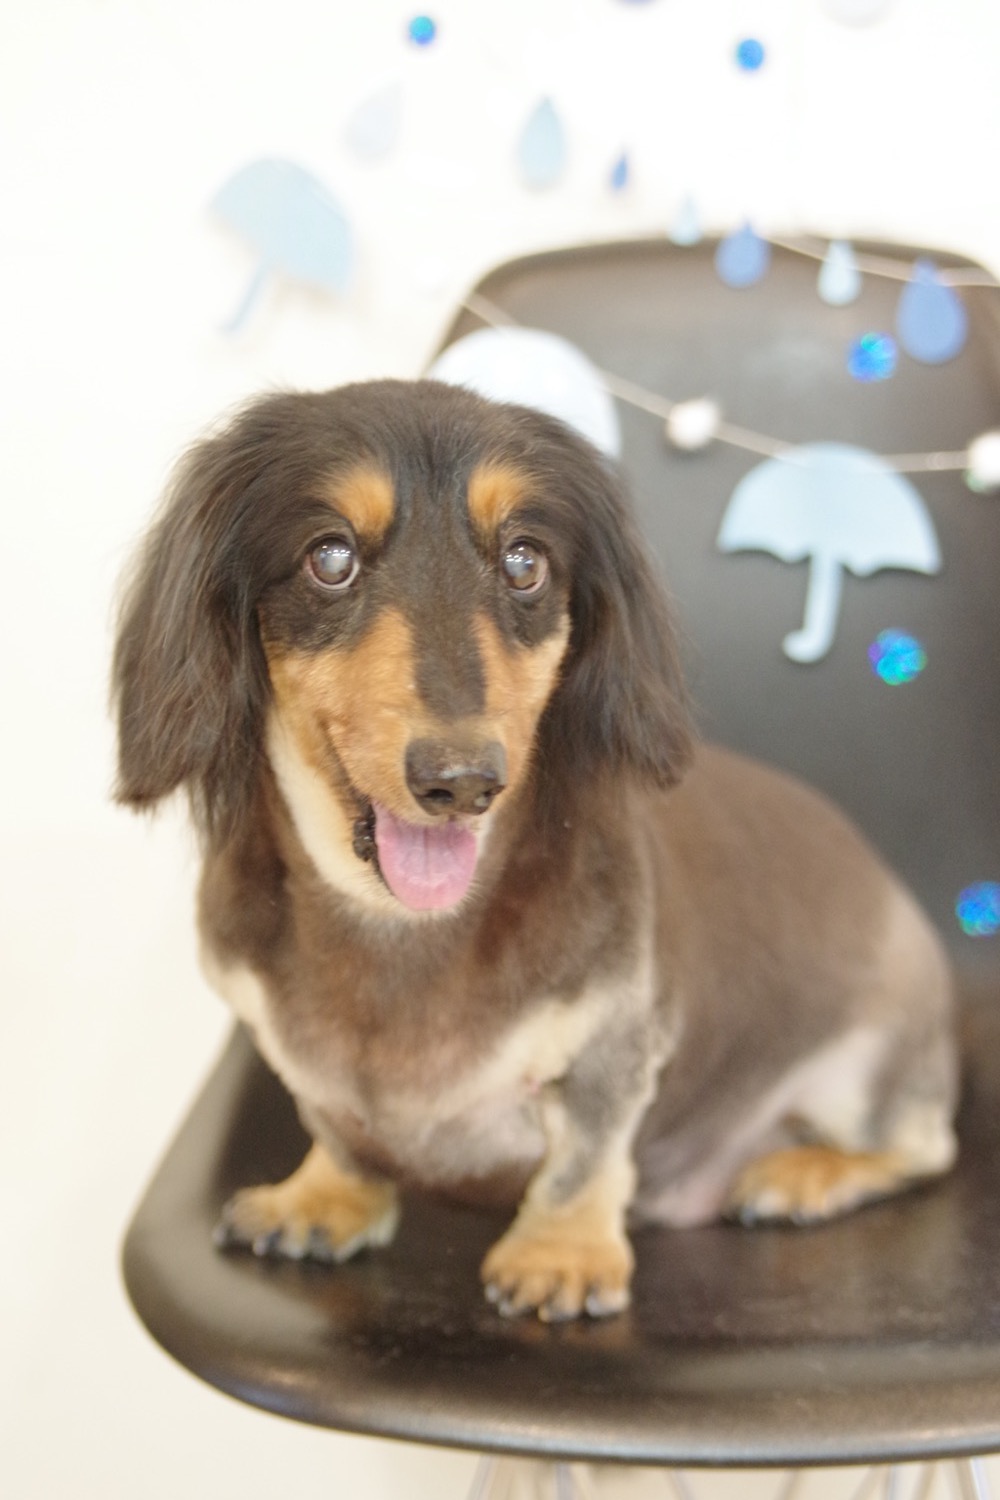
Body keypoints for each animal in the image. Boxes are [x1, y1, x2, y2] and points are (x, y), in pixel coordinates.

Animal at [113, 379, 958, 1322]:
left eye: (525, 562)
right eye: (329, 556)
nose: (461, 781)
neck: (398, 930)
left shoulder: (616, 1043)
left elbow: (586, 1157)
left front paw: (563, 1251)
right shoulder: (290, 1051)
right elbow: (337, 1126)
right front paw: (326, 1195)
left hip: (871, 1074)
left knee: (926, 1148)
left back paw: (803, 1172)